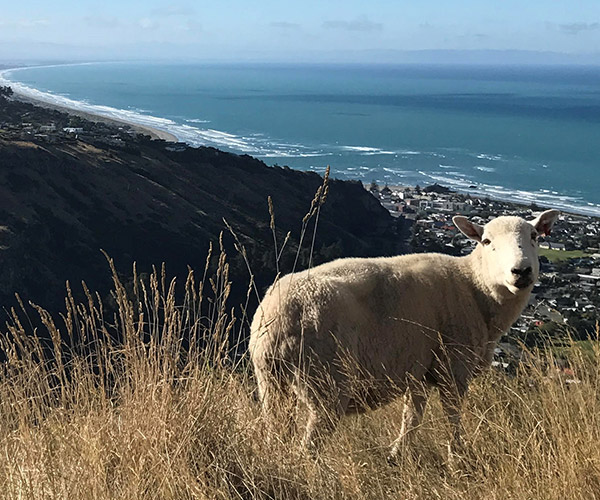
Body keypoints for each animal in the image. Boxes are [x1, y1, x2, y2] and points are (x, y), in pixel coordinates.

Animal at [247, 208, 556, 460]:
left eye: (534, 236)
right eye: (487, 241)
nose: (521, 271)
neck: (475, 287)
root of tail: (276, 317)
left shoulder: (420, 370)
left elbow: (412, 416)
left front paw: (398, 454)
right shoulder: (453, 367)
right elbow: (453, 416)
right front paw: (457, 455)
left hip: (271, 383)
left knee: (275, 429)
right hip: (327, 383)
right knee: (308, 447)